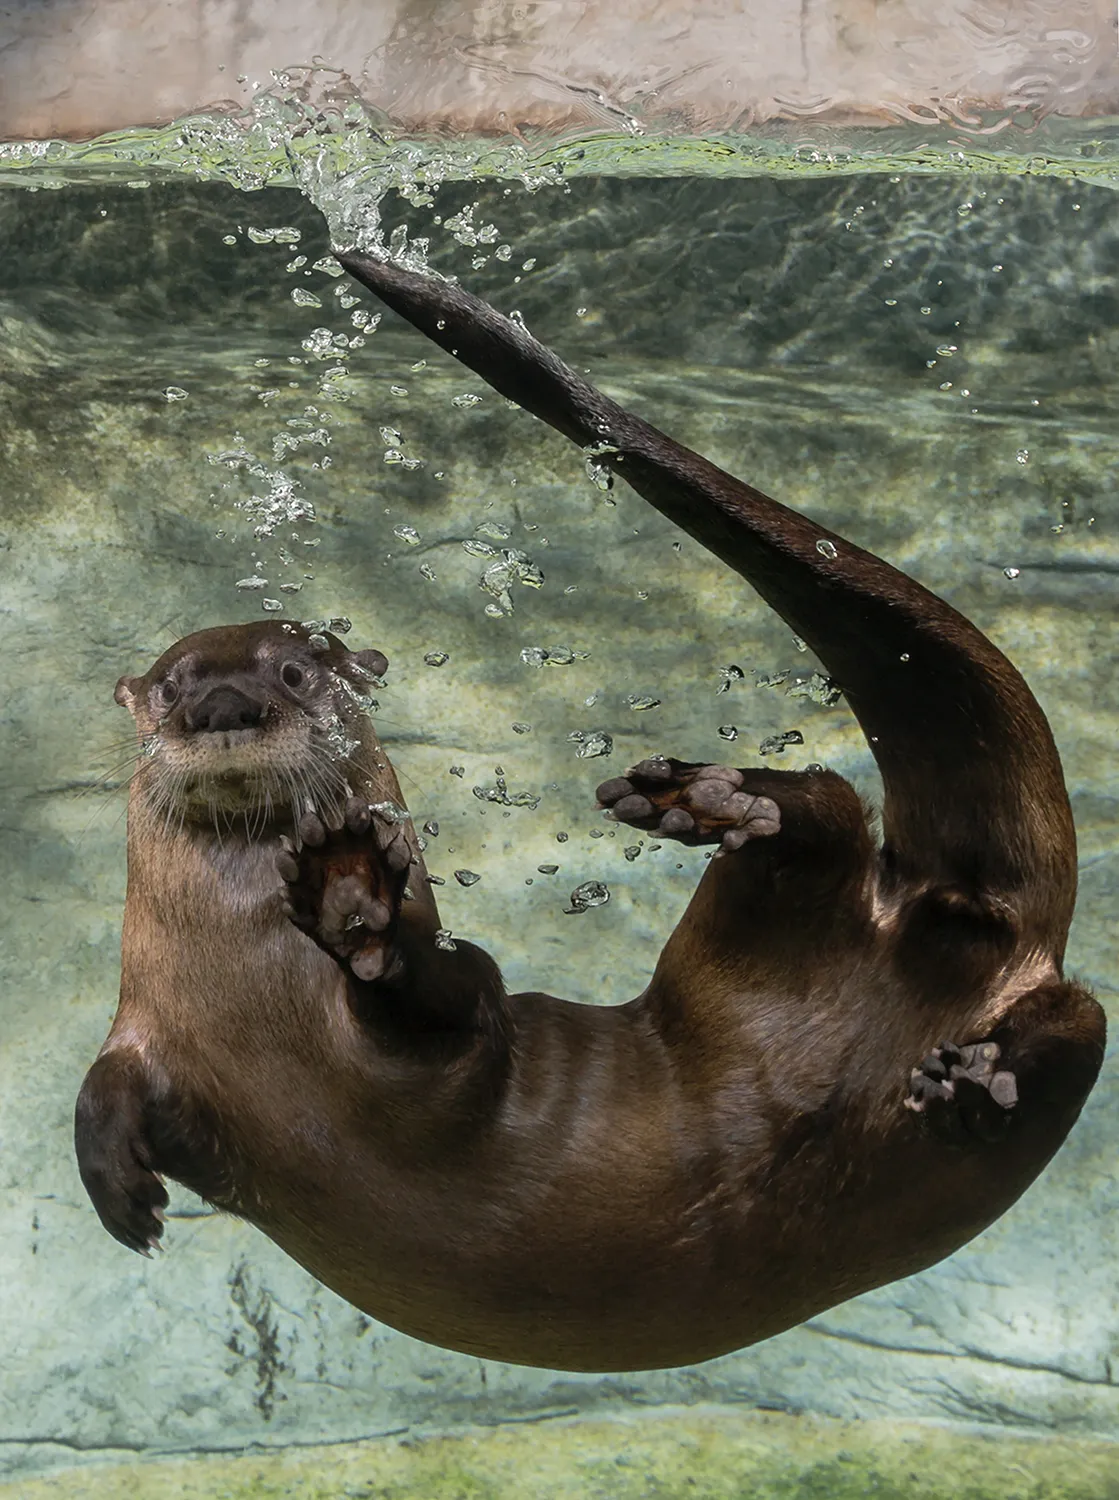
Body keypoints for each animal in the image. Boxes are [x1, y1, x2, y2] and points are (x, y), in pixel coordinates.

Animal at [75, 254, 1105, 1373]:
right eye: (172, 688)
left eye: (297, 671)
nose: (222, 706)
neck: (255, 987)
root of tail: (965, 918)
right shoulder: (149, 1026)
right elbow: (100, 1087)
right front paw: (121, 1193)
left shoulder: (462, 1041)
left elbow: (454, 989)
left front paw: (359, 905)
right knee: (842, 858)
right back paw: (717, 810)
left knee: (1066, 1014)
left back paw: (966, 1052)